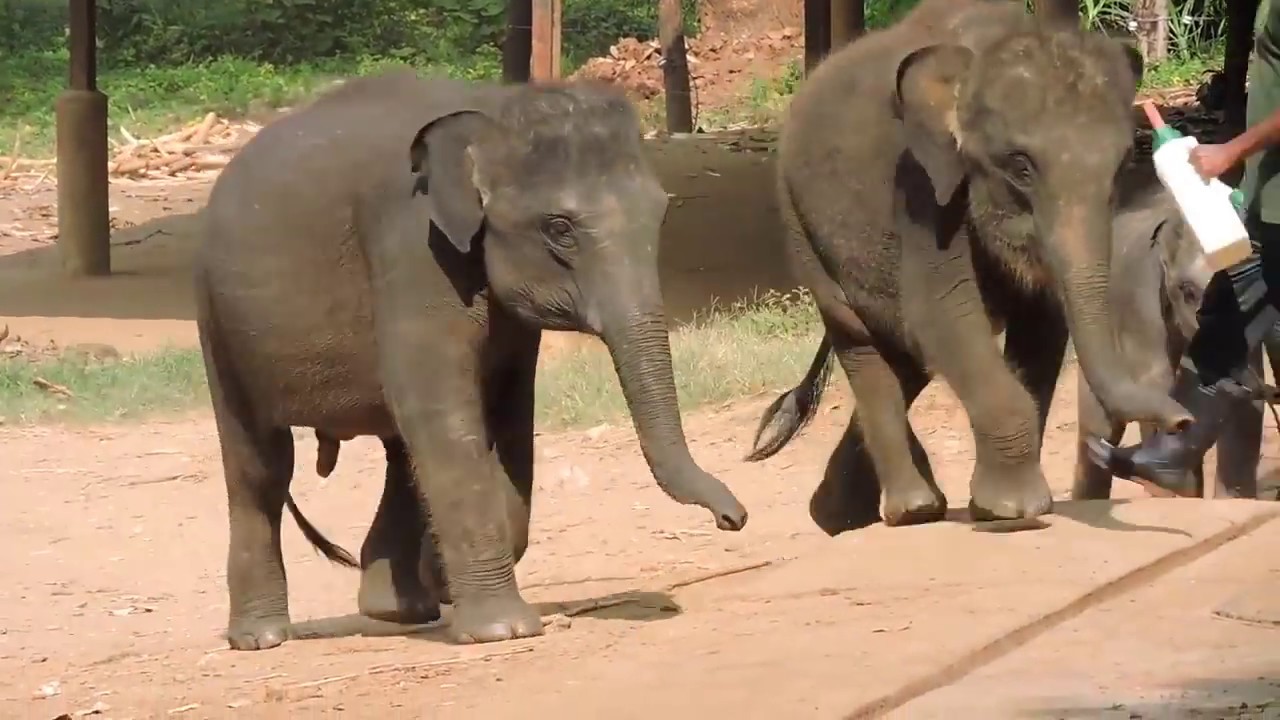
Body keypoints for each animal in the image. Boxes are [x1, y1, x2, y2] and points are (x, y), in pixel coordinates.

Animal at [195, 69, 747, 650]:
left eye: (660, 213)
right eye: (560, 228)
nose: (733, 518)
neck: (493, 108)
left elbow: (508, 414)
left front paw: (445, 580)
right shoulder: (412, 246)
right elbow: (444, 413)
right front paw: (503, 629)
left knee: (397, 449)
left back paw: (398, 608)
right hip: (216, 319)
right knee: (261, 464)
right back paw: (262, 638)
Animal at [756, 0, 1189, 533]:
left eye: (1123, 164)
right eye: (1021, 167)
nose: (1182, 421)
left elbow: (1041, 328)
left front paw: (997, 506)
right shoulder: (923, 189)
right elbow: (943, 317)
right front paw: (1014, 511)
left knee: (905, 358)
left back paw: (842, 515)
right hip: (801, 228)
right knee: (863, 342)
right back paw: (911, 510)